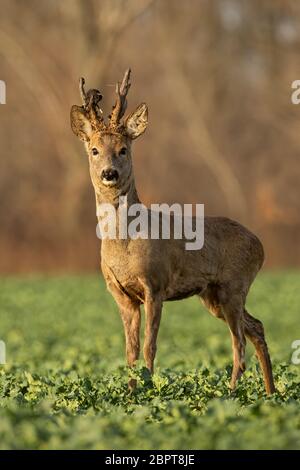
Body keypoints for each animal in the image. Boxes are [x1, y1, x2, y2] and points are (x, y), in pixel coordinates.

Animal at [70, 68, 274, 394]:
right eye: (94, 149)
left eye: (123, 149)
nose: (109, 173)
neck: (125, 243)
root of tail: (260, 244)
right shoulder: (121, 294)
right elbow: (129, 350)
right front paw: (131, 392)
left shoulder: (155, 285)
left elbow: (149, 346)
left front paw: (150, 388)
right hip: (212, 295)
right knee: (256, 326)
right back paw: (271, 392)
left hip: (234, 285)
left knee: (239, 342)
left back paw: (231, 393)